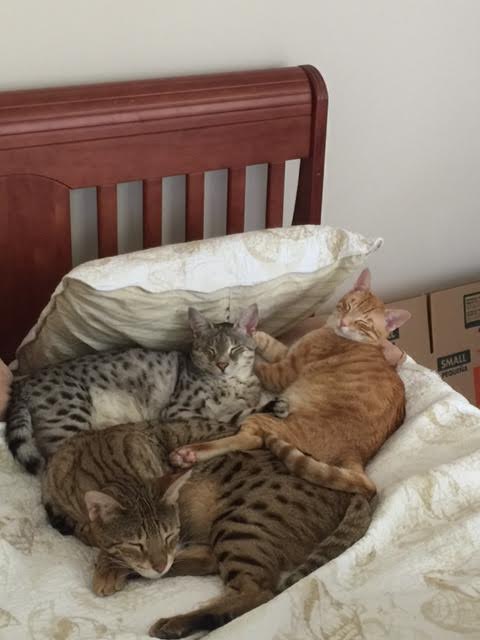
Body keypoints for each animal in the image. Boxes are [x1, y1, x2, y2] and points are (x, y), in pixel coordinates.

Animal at [6, 304, 271, 475]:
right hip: (70, 416)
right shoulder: (179, 410)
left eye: (235, 349)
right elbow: (231, 415)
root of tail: (23, 383)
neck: (232, 383)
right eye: (210, 350)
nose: (222, 364)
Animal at [169, 269, 411, 498]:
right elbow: (271, 342)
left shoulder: (284, 371)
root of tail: (356, 457)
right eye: (348, 306)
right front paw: (253, 333)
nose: (344, 322)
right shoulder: (286, 352)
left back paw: (188, 454)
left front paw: (246, 349)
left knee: (249, 440)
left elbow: (259, 364)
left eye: (362, 323)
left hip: (269, 419)